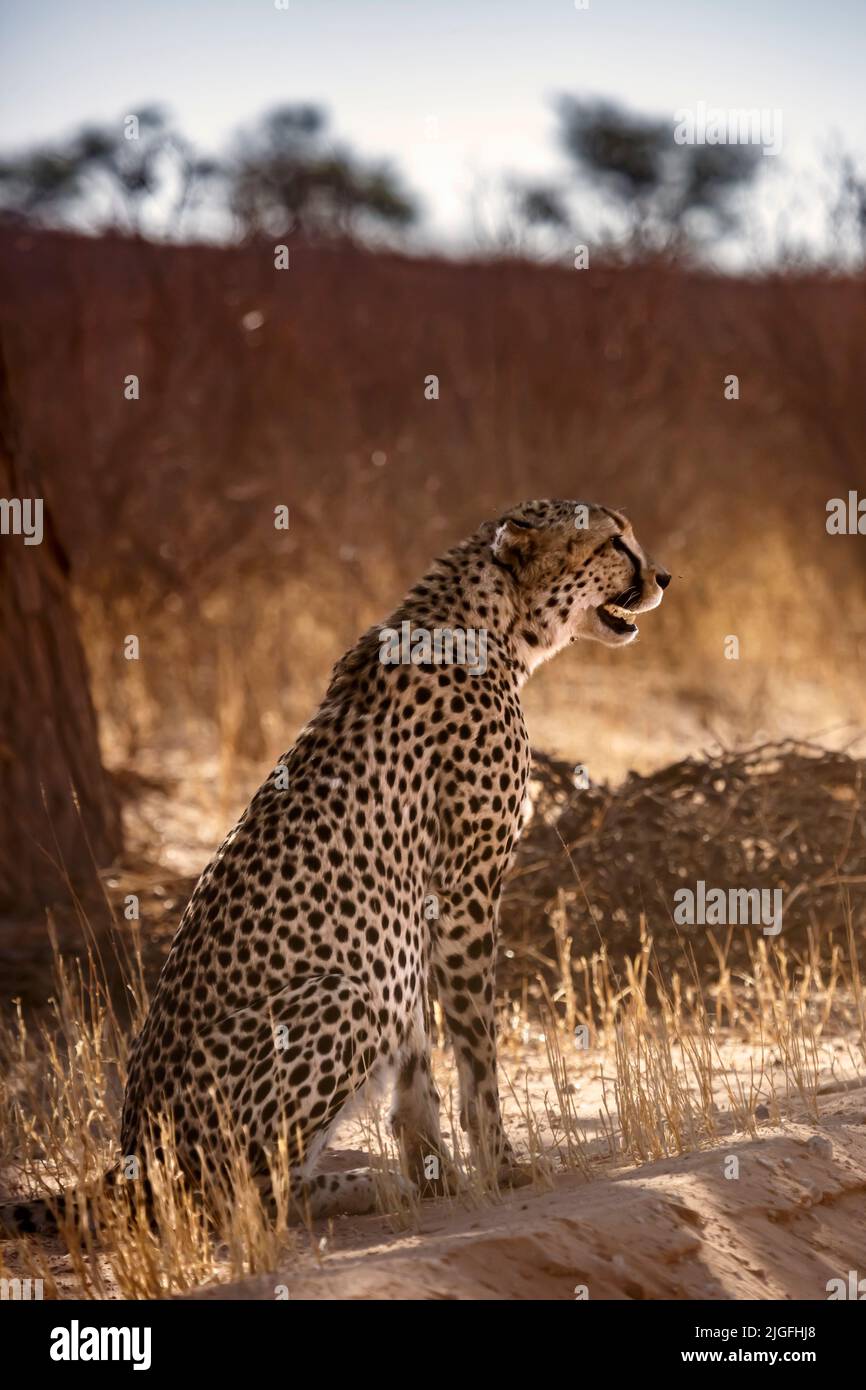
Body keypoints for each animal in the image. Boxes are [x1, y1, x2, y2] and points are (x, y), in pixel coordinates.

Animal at [0, 497, 670, 1228]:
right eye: (613, 542)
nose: (662, 576)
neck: (490, 623)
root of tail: (130, 1155)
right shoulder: (464, 890)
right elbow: (476, 1051)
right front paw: (499, 1166)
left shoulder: (408, 921)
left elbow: (419, 1062)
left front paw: (437, 1172)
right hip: (342, 998)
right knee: (238, 1196)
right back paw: (366, 1185)